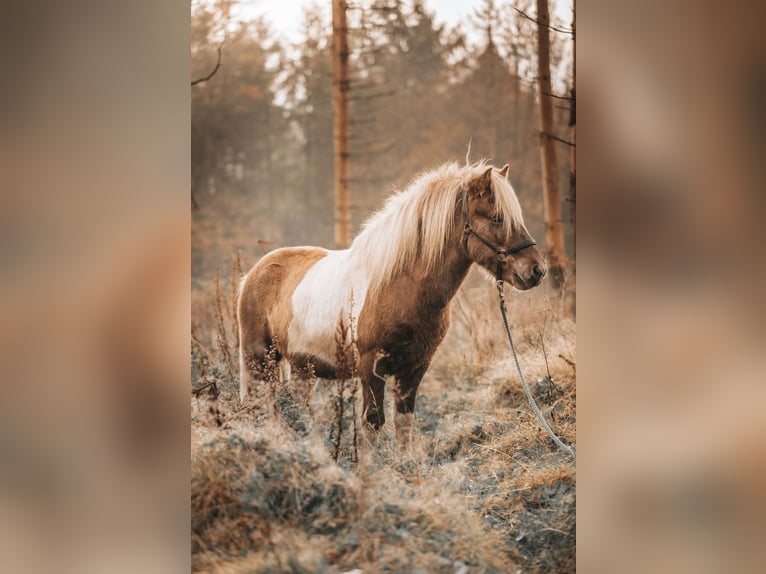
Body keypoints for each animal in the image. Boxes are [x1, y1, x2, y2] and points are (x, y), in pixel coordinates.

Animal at [237, 161, 546, 445]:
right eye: (496, 218)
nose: (537, 270)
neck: (400, 285)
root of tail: (252, 275)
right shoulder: (371, 368)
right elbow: (372, 423)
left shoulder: (415, 368)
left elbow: (404, 422)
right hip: (259, 363)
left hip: (303, 370)